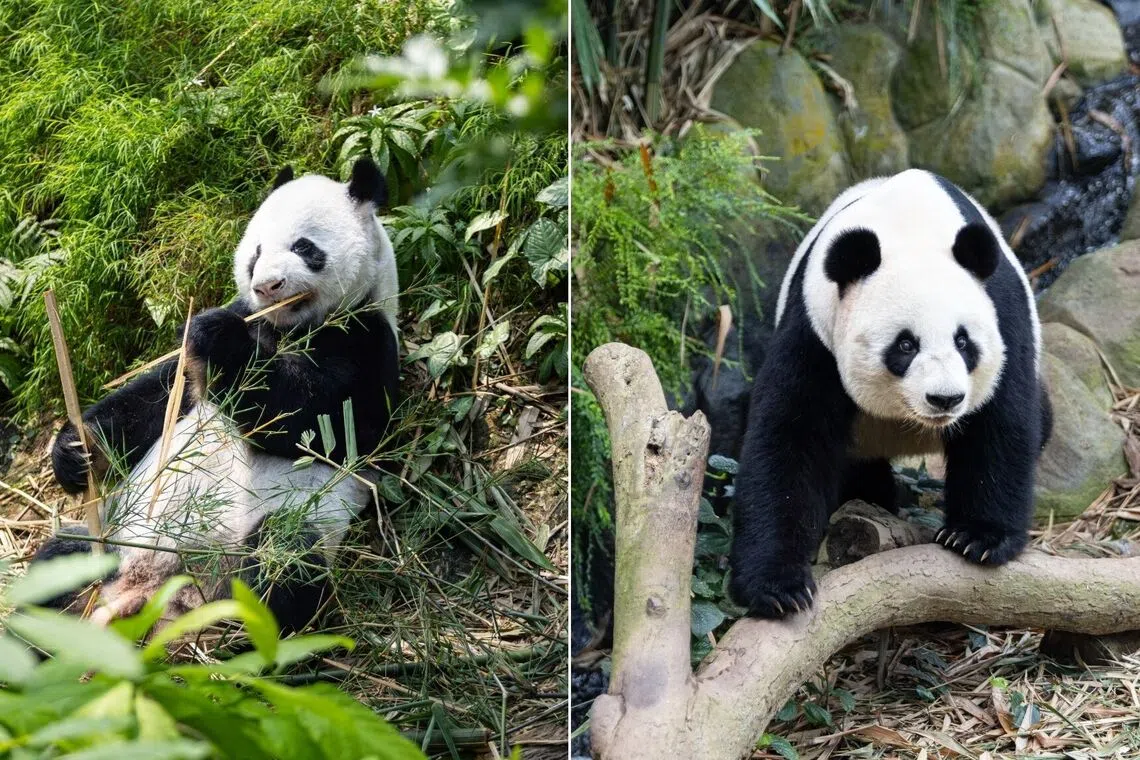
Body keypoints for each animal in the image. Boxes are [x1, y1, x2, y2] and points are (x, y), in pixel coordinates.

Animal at [37, 157, 400, 633]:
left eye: (305, 247)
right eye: (257, 252)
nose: (267, 286)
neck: (283, 327)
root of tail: (151, 592)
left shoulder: (365, 342)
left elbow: (315, 422)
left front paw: (222, 341)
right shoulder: (219, 338)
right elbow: (154, 399)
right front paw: (75, 450)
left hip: (276, 532)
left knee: (285, 561)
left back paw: (248, 634)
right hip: (111, 548)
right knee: (55, 564)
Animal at [729, 169, 1052, 619]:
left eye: (963, 342)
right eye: (905, 345)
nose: (945, 399)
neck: (909, 226)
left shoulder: (1003, 317)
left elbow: (1000, 424)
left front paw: (978, 538)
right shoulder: (816, 330)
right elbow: (789, 438)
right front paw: (778, 588)